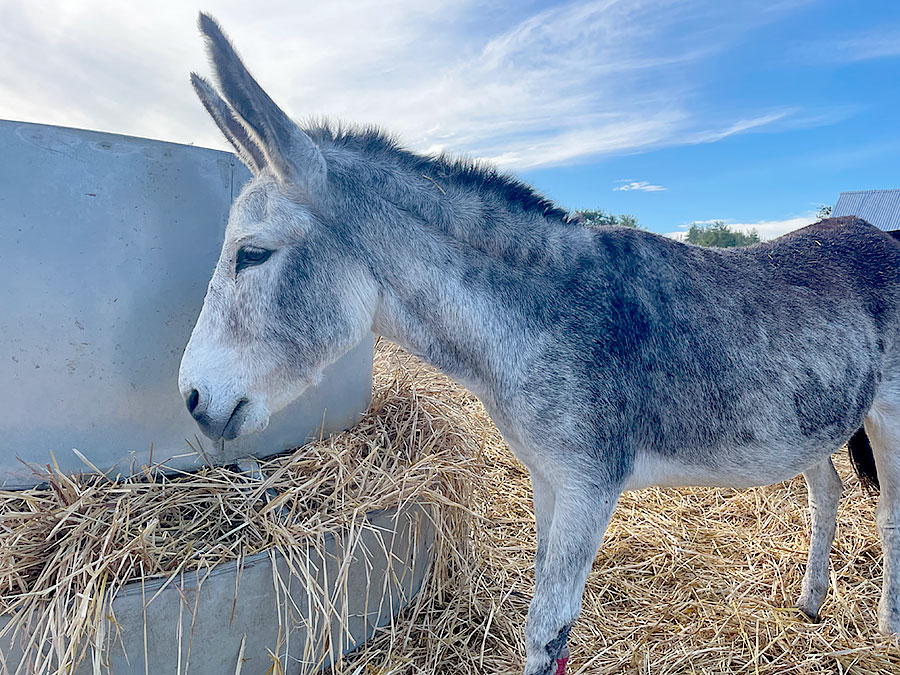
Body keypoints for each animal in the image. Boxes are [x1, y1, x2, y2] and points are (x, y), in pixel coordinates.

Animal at [178, 13, 900, 675]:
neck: (538, 322)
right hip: (810, 419)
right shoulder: (549, 479)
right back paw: (811, 600)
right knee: (829, 488)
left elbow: (548, 627)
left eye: (252, 254)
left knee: (890, 510)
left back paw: (889, 627)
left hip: (889, 413)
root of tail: (871, 229)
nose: (190, 398)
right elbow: (547, 625)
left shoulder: (589, 486)